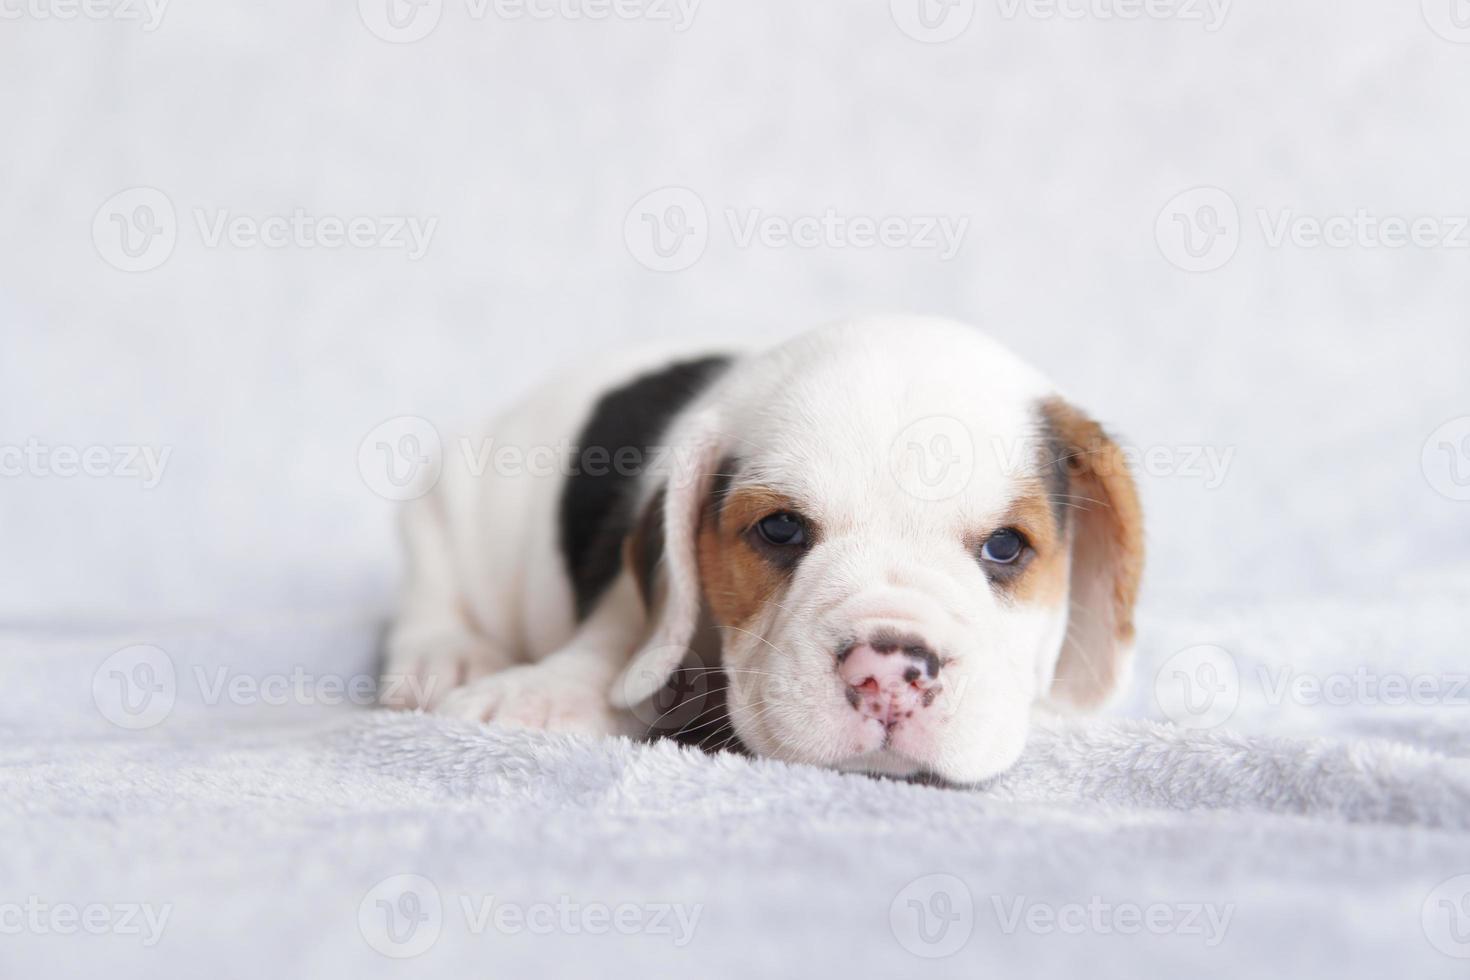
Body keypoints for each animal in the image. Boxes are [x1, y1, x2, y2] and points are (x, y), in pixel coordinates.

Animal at [376, 318, 1134, 787]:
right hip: (444, 509)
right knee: (432, 589)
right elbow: (623, 629)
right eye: (781, 531)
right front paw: (544, 694)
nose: (888, 674)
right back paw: (445, 654)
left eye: (1006, 547)